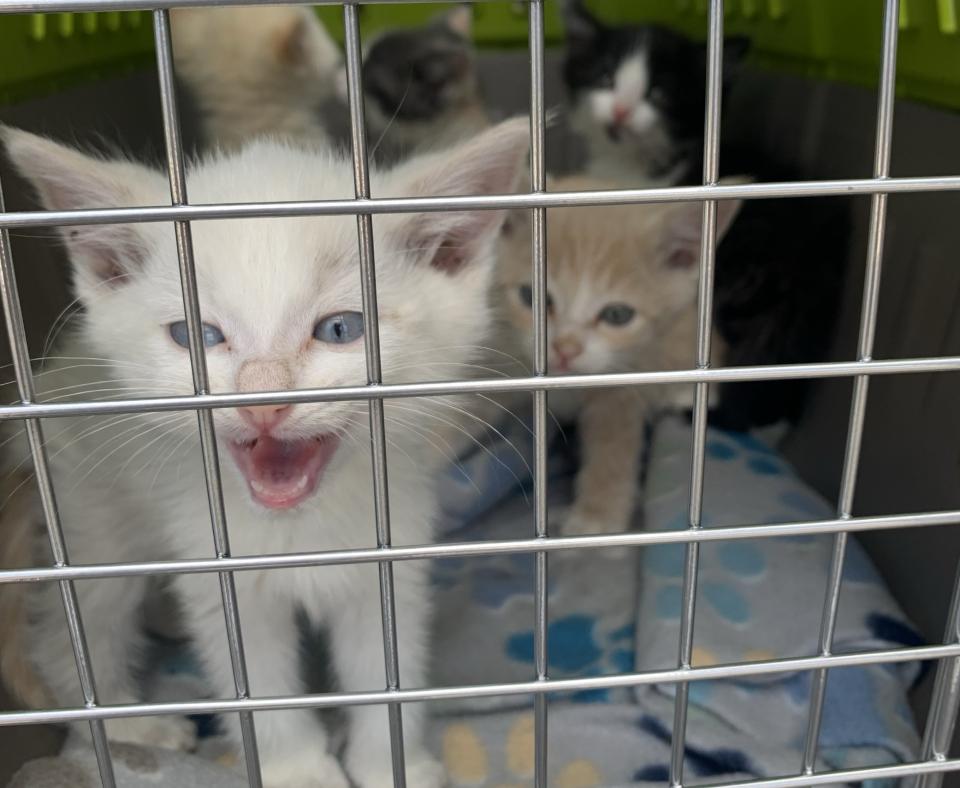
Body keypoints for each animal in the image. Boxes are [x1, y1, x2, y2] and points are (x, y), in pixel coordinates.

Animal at [0, 117, 528, 788]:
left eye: (340, 329)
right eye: (196, 336)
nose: (262, 402)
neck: (298, 528)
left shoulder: (392, 552)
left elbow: (386, 666)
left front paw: (392, 764)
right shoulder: (218, 566)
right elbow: (255, 680)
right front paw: (300, 770)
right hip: (93, 512)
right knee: (80, 624)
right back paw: (129, 727)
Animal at [496, 178, 744, 536]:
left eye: (617, 314)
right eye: (531, 297)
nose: (565, 349)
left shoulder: (626, 380)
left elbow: (613, 446)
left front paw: (596, 518)